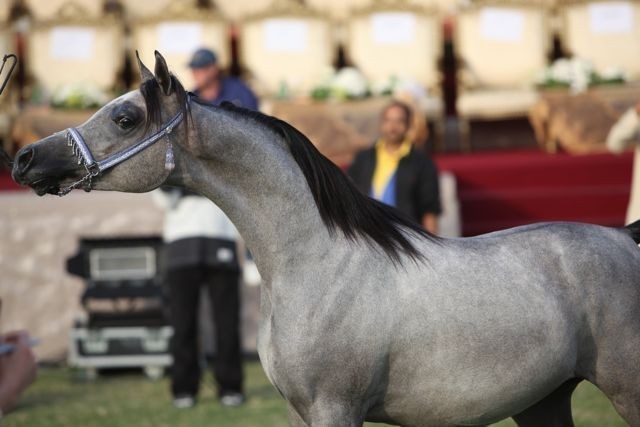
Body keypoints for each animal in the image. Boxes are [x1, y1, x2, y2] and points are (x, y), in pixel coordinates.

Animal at [10, 51, 640, 427]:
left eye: (124, 118)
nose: (24, 158)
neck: (317, 266)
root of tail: (627, 240)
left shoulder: (336, 409)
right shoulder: (299, 412)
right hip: (543, 402)